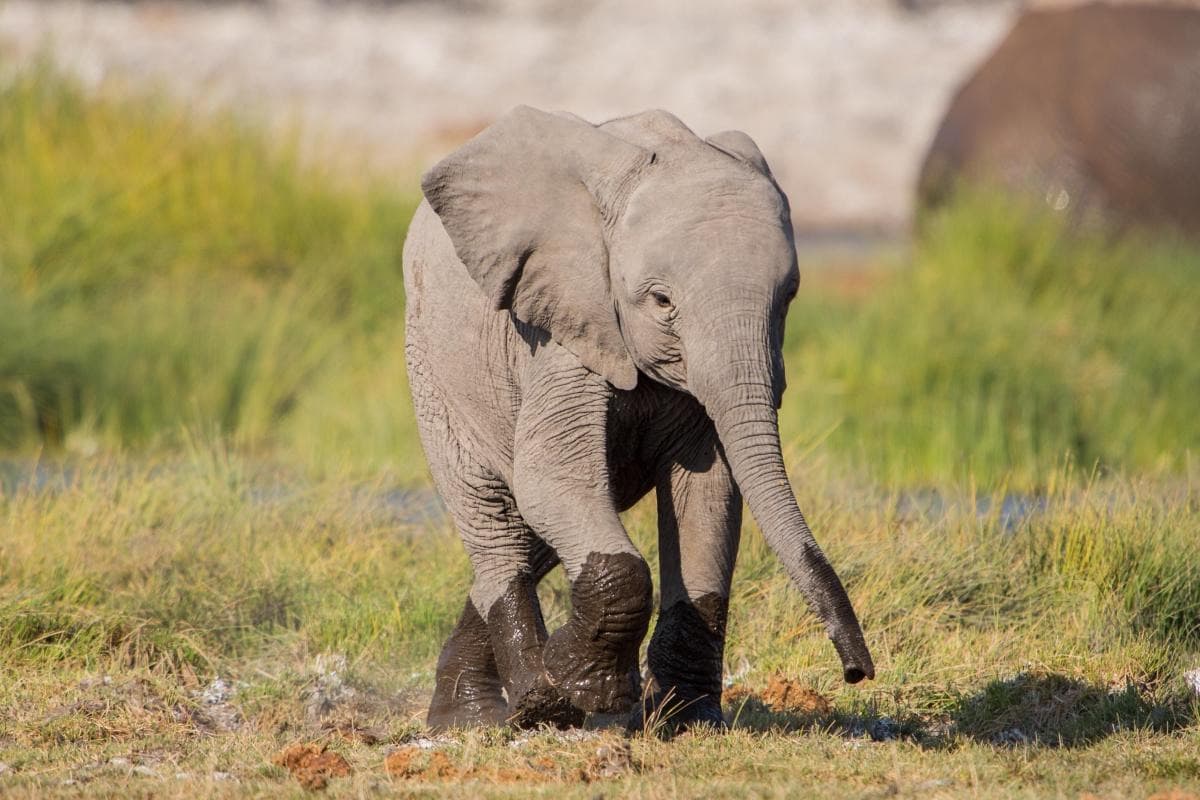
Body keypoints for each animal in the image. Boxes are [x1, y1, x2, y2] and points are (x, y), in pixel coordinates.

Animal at [403, 106, 873, 734]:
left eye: (789, 297)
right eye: (661, 302)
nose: (857, 672)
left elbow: (708, 492)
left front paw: (684, 721)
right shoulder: (566, 327)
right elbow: (551, 476)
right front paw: (588, 689)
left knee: (535, 531)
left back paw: (470, 715)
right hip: (432, 366)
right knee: (497, 512)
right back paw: (523, 707)